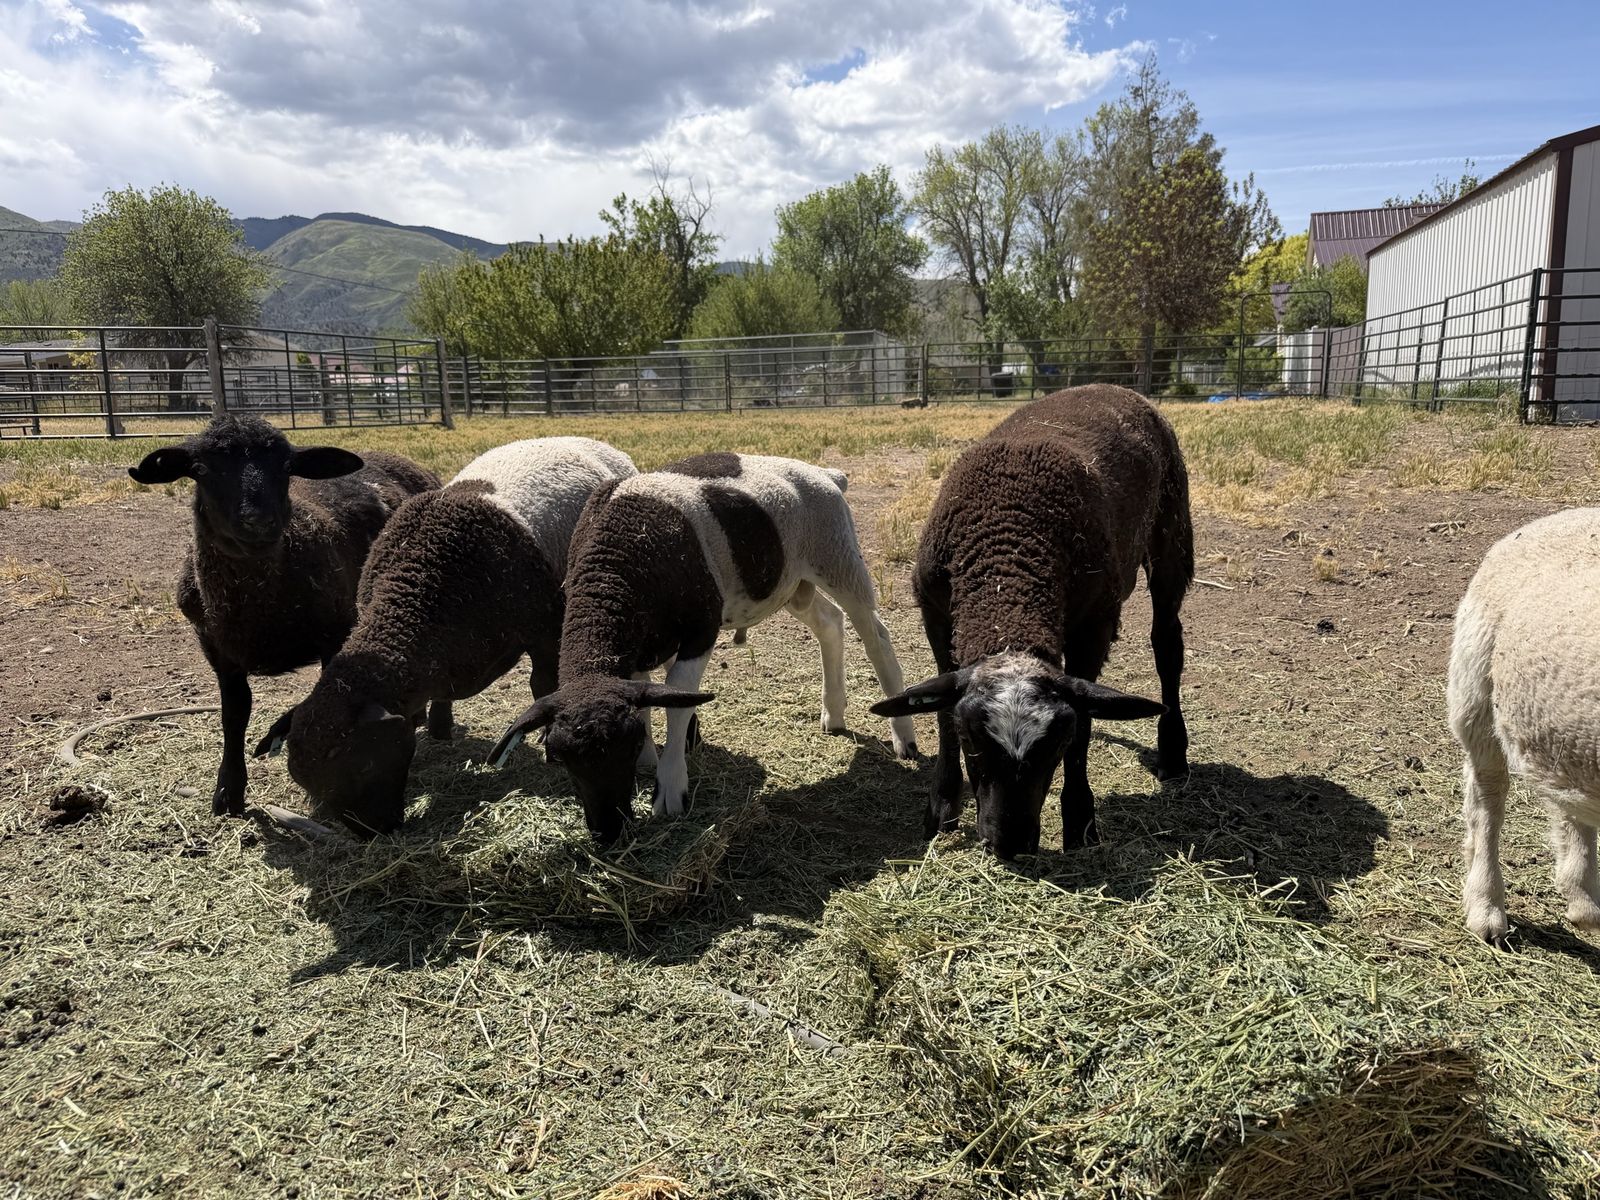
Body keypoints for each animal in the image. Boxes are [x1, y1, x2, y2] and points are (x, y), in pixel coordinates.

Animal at [127, 414, 439, 817]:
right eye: (201, 469)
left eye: (287, 467)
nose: (259, 522)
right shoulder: (216, 648)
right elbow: (234, 714)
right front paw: (228, 791)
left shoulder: (336, 633)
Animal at [279, 437, 637, 835]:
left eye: (362, 764)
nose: (377, 832)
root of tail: (592, 441)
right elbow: (439, 694)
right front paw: (439, 729)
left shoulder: (545, 632)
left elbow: (542, 686)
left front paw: (546, 738)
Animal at [489, 451, 917, 846]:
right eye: (561, 758)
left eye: (625, 749)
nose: (608, 833)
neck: (617, 561)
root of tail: (827, 474)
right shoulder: (639, 650)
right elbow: (647, 699)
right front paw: (651, 762)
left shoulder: (699, 632)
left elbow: (679, 703)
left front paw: (670, 788)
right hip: (793, 584)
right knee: (830, 623)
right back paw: (834, 713)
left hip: (838, 556)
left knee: (876, 636)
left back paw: (904, 737)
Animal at [871, 385, 1191, 859]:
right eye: (971, 739)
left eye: (1057, 741)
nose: (1011, 843)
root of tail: (1110, 387)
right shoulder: (936, 614)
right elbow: (940, 710)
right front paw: (941, 810)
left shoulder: (1094, 625)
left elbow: (1086, 724)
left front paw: (1080, 822)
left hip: (1172, 529)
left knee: (1167, 644)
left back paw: (1173, 753)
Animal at [1449, 507, 1600, 947]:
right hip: (1477, 689)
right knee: (1487, 800)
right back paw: (1486, 909)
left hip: (1565, 731)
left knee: (1568, 804)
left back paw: (1582, 897)